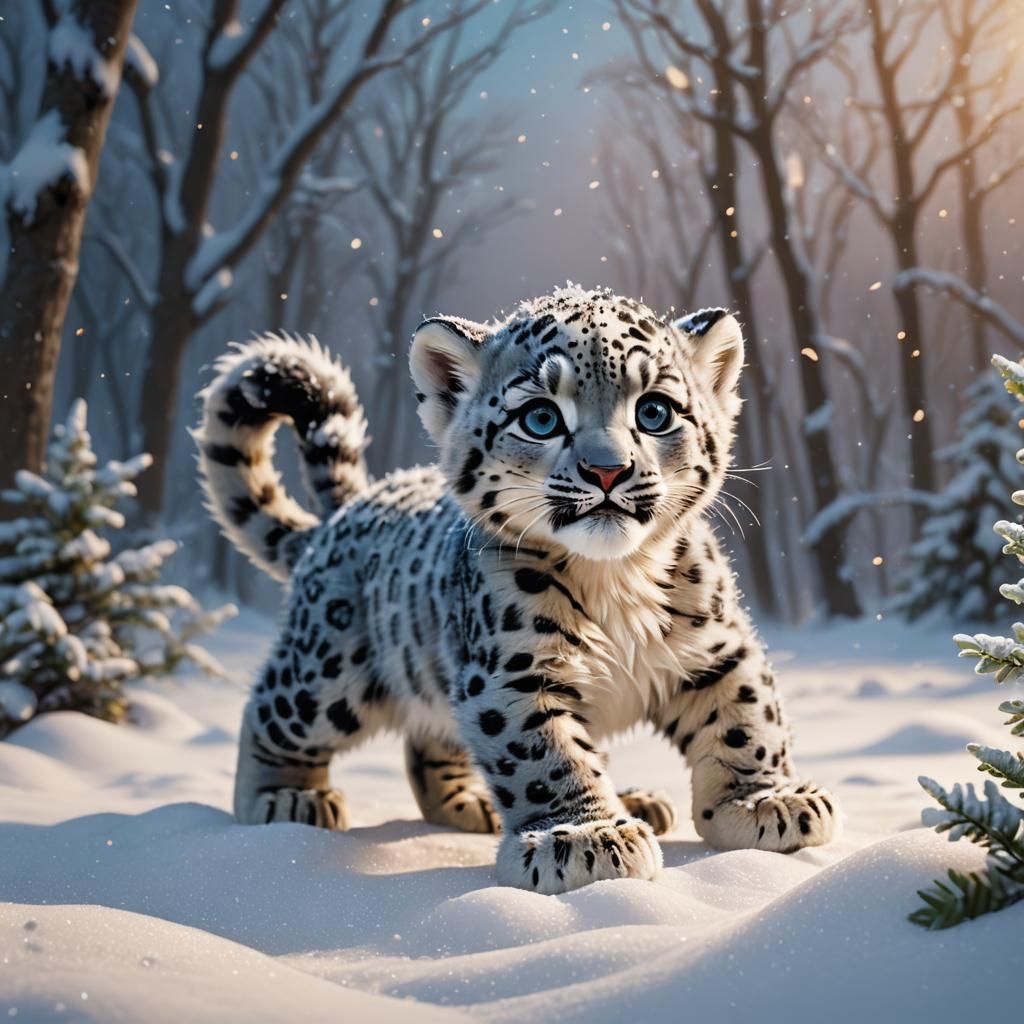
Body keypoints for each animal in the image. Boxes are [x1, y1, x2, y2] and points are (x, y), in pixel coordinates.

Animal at [194, 284, 838, 895]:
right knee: (271, 710)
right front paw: (585, 838)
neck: (617, 582)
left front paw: (764, 802)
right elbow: (546, 753)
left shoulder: (719, 648)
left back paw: (502, 803)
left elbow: (747, 720)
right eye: (540, 418)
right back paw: (286, 799)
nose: (608, 470)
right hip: (328, 672)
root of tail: (353, 506)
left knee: (429, 744)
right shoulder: (514, 671)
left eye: (655, 410)